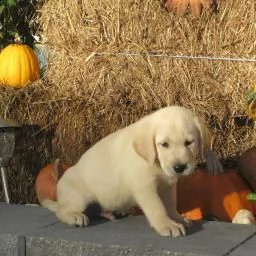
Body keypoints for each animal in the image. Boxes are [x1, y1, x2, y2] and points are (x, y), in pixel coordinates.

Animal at [43, 105, 221, 237]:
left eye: (189, 142)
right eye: (164, 144)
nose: (179, 167)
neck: (155, 162)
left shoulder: (168, 185)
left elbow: (170, 204)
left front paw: (177, 218)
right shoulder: (145, 188)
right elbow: (158, 207)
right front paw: (166, 225)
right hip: (78, 197)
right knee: (61, 211)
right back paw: (75, 216)